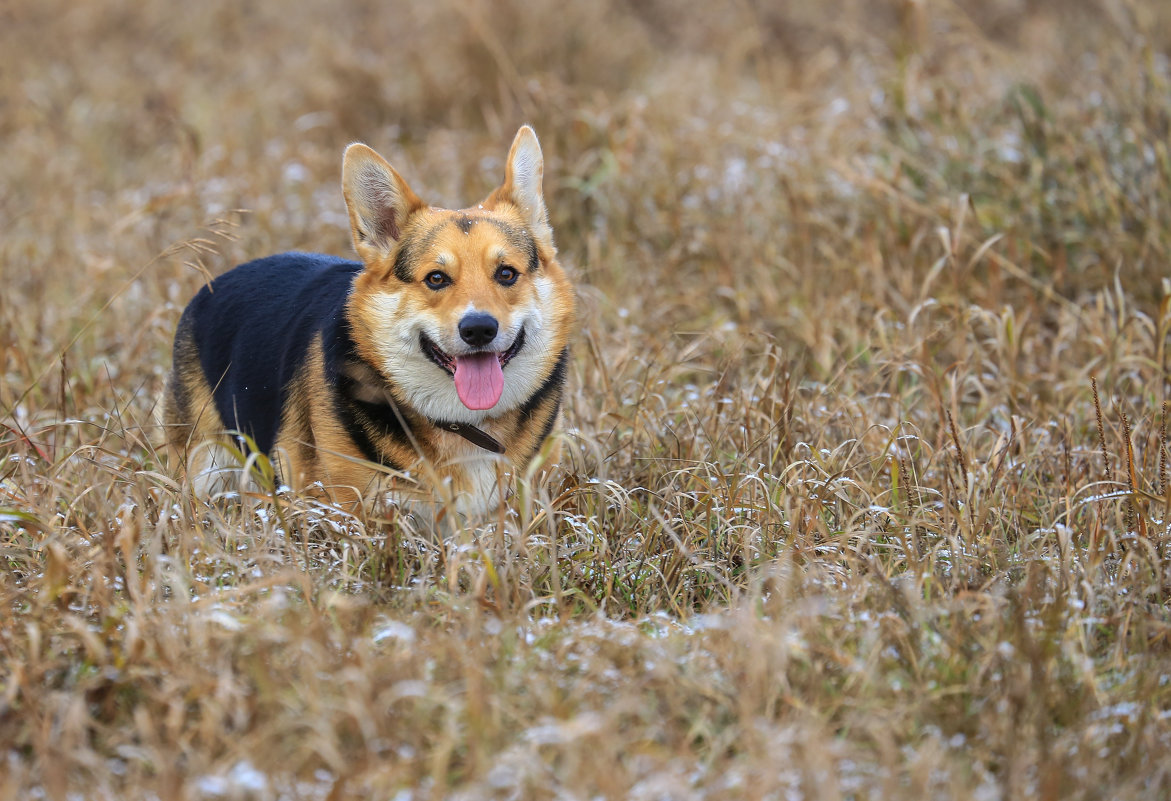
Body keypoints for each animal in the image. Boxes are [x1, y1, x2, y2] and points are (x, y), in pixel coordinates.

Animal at [165, 126, 576, 519]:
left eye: (506, 274)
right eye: (436, 278)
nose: (478, 329)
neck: (465, 424)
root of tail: (214, 284)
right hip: (206, 468)